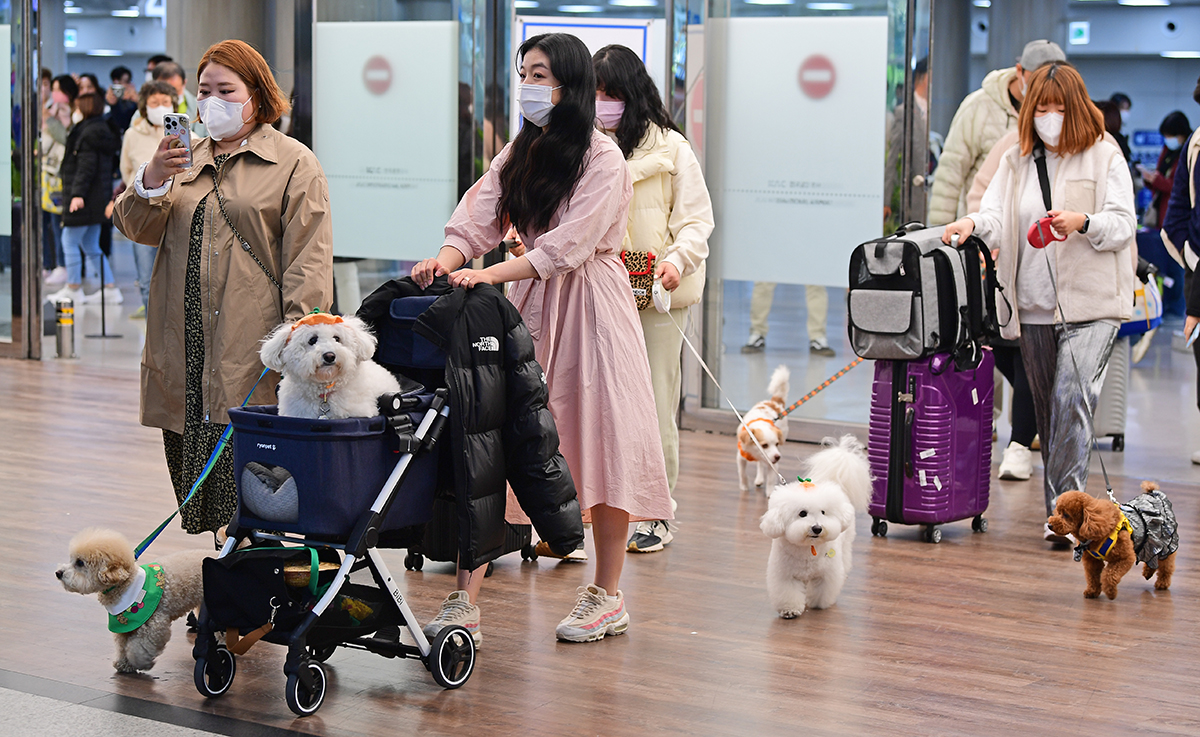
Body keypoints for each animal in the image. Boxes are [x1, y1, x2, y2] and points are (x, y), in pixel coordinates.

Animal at [55, 530, 211, 676]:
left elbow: (138, 648)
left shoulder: (155, 625)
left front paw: (142, 663)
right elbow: (123, 647)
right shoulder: (125, 628)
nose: (58, 573)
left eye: (80, 563)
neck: (126, 584)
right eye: (71, 559)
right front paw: (124, 665)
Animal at [758, 436, 873, 619]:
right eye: (802, 513)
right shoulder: (785, 575)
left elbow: (822, 589)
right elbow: (788, 593)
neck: (808, 549)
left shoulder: (826, 574)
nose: (817, 528)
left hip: (846, 545)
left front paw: (819, 604)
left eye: (823, 512)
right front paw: (790, 610)